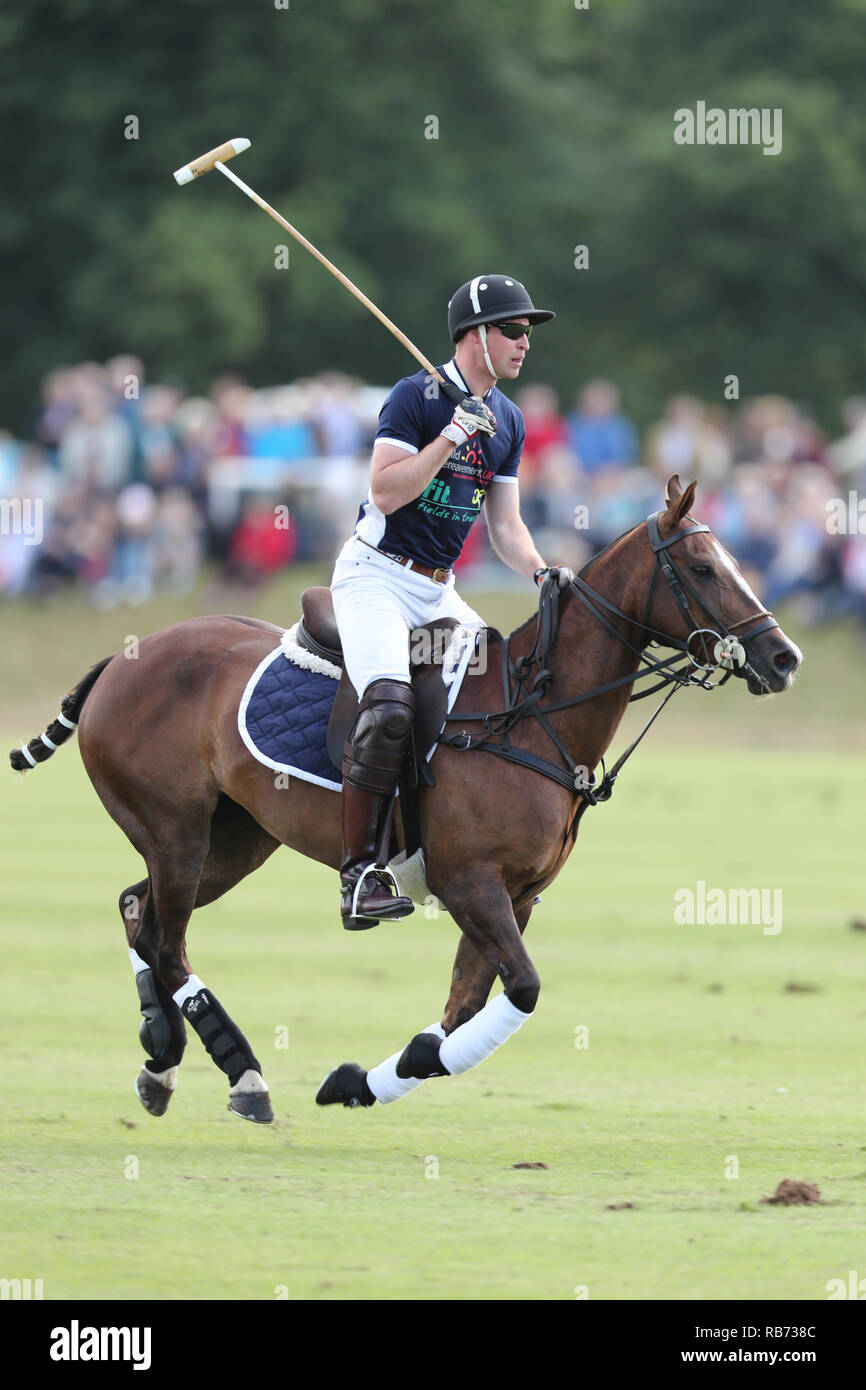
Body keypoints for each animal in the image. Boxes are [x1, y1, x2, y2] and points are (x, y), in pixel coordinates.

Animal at [10, 472, 800, 1123]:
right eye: (702, 567)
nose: (783, 657)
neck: (529, 713)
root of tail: (120, 659)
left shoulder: (517, 895)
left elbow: (461, 1011)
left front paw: (356, 1082)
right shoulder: (470, 881)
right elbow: (520, 991)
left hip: (235, 839)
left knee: (138, 912)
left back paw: (162, 1057)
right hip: (176, 829)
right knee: (167, 942)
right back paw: (244, 1076)